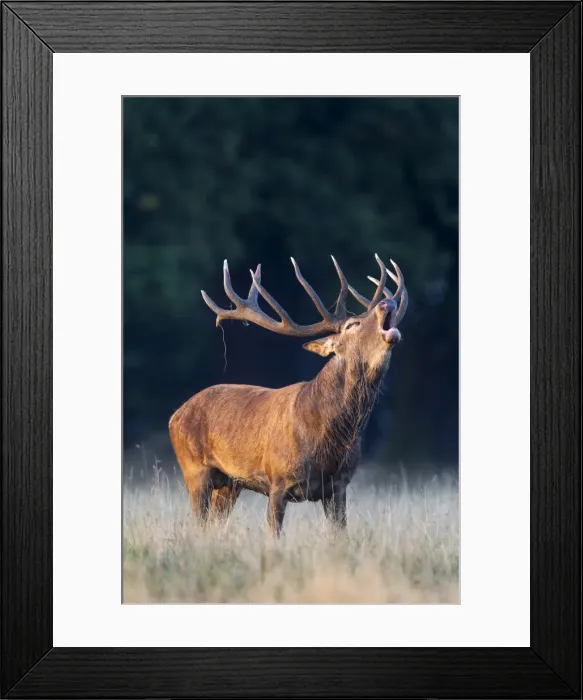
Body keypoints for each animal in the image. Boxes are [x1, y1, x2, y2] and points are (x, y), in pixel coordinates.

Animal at [169, 254, 407, 537]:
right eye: (352, 325)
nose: (386, 302)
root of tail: (174, 415)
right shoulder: (278, 481)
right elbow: (274, 534)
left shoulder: (339, 486)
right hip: (194, 469)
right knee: (199, 522)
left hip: (229, 483)